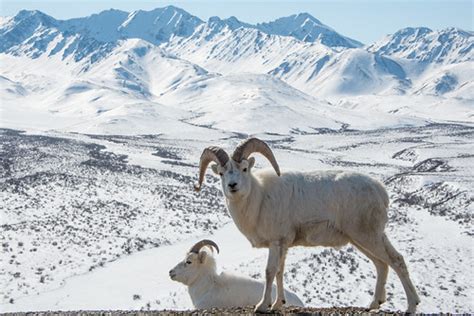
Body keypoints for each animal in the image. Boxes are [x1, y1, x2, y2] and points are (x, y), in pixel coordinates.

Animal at [194, 138, 420, 314]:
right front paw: (278, 304)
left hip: (367, 236)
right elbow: (280, 272)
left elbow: (269, 272)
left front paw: (262, 306)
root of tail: (380, 190)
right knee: (382, 264)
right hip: (363, 239)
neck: (259, 198)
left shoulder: (276, 243)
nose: (233, 186)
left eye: (244, 169)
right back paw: (374, 304)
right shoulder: (283, 245)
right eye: (221, 173)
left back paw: (411, 307)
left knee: (395, 261)